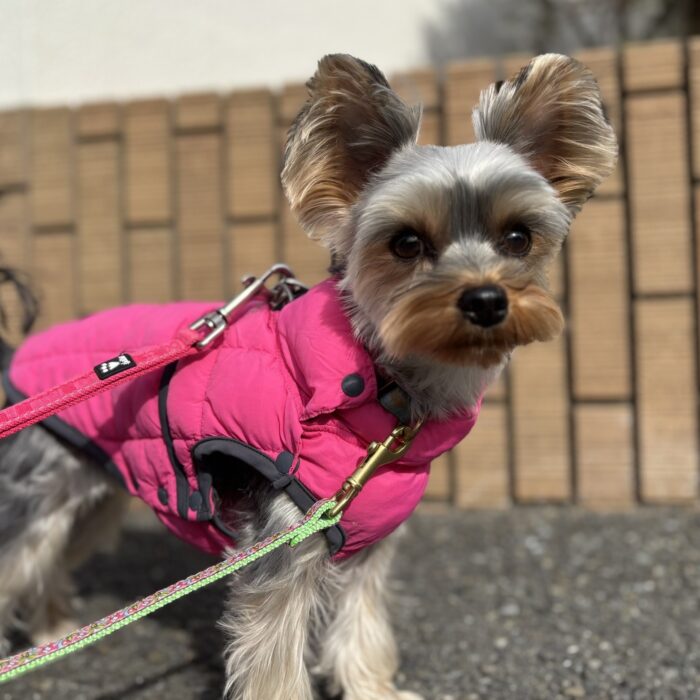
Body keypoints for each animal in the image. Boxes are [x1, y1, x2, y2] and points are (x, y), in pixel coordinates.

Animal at [0, 52, 612, 696]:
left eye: (518, 237)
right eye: (406, 243)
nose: (487, 300)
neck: (384, 390)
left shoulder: (367, 538)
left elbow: (362, 625)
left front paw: (372, 688)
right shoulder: (281, 546)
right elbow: (274, 660)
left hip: (99, 492)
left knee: (50, 561)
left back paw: (52, 631)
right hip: (41, 491)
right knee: (18, 558)